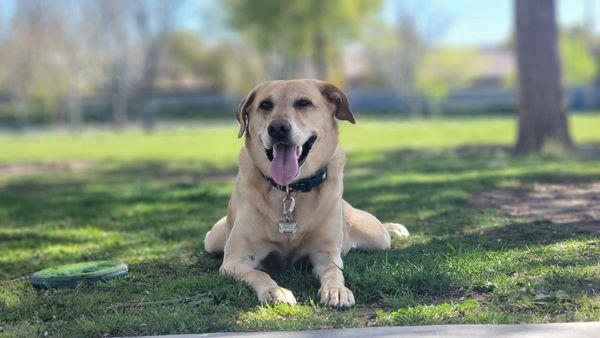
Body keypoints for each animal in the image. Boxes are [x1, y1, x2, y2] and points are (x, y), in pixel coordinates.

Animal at [205, 80, 408, 308]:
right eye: (265, 105)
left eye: (303, 103)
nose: (278, 128)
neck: (290, 190)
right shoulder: (235, 261)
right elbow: (259, 274)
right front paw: (275, 291)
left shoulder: (325, 255)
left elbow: (333, 272)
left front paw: (337, 291)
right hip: (213, 240)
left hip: (377, 237)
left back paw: (393, 228)